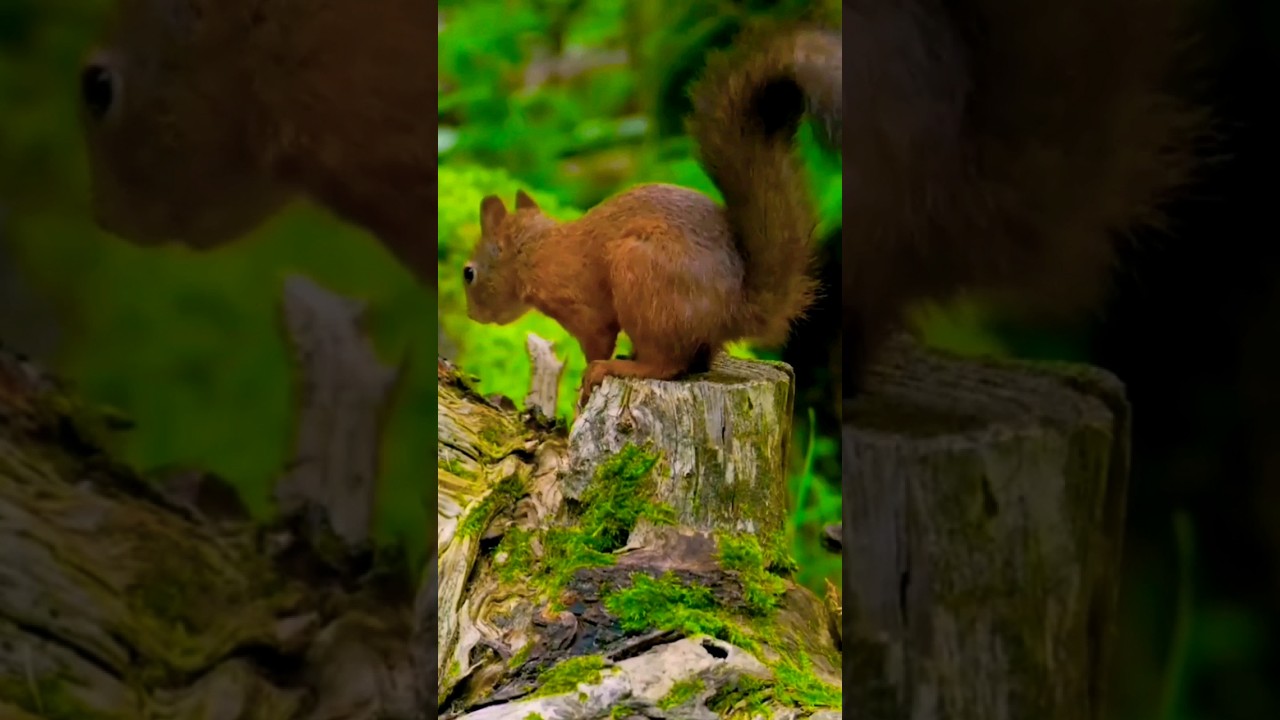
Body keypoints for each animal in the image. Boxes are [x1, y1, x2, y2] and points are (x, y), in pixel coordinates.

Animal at [463, 27, 841, 405]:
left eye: (469, 273)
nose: (472, 316)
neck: (535, 251)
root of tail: (735, 309)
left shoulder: (583, 307)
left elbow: (597, 340)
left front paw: (585, 382)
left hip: (642, 279)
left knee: (666, 364)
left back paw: (620, 367)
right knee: (693, 362)